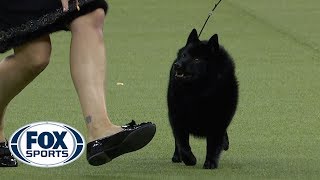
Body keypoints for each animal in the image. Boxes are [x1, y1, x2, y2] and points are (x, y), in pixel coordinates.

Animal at [168, 28, 238, 169]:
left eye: (196, 59)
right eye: (184, 55)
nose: (177, 65)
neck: (198, 92)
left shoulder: (218, 121)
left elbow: (214, 144)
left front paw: (210, 162)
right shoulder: (177, 117)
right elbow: (182, 143)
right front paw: (190, 159)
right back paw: (177, 156)